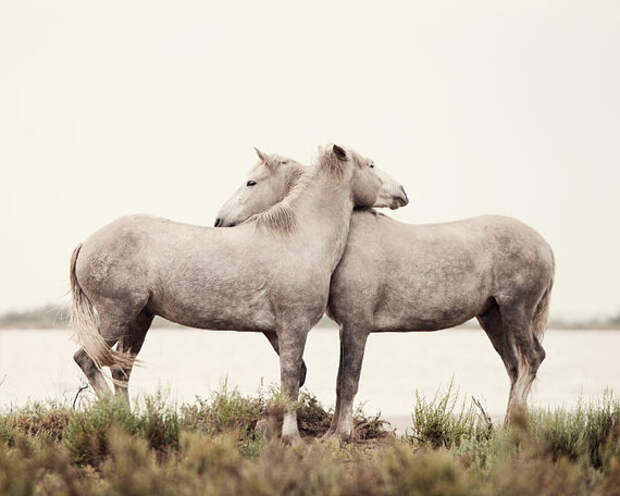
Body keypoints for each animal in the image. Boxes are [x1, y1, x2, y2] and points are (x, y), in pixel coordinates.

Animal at [70, 143, 406, 442]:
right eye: (371, 165)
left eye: (251, 182)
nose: (402, 192)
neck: (299, 237)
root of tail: (86, 243)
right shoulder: (293, 327)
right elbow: (290, 381)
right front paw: (290, 437)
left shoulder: (275, 331)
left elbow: (297, 376)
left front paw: (266, 424)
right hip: (117, 314)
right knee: (86, 359)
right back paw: (113, 414)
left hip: (139, 318)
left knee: (121, 369)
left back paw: (128, 422)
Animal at [216, 156, 556, 442]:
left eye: (251, 182)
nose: (220, 221)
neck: (345, 236)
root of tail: (545, 246)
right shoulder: (347, 326)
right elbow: (341, 382)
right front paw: (335, 433)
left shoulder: (356, 324)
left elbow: (347, 380)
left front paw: (339, 436)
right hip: (493, 317)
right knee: (514, 367)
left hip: (516, 310)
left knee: (532, 359)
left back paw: (512, 428)